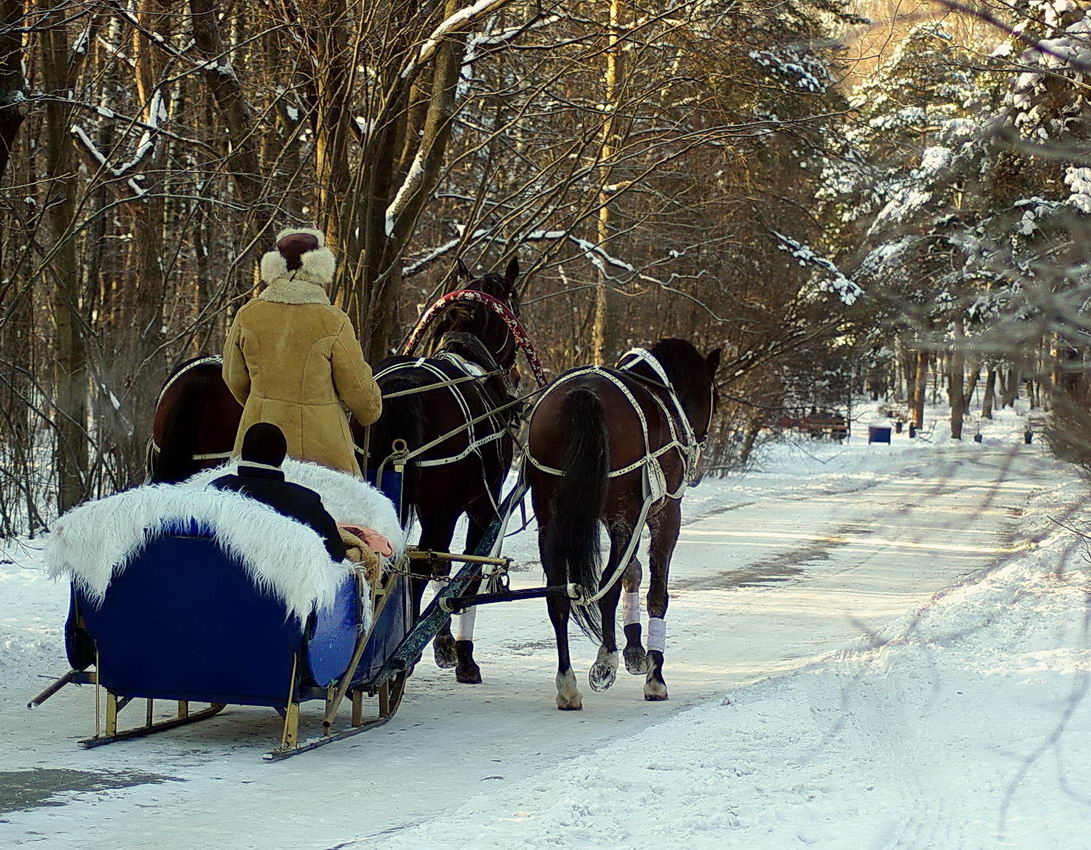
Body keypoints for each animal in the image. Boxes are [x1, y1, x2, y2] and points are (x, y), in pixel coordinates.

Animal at [525, 338, 715, 711]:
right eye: (712, 395)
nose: (699, 444)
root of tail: (582, 394)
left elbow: (631, 572)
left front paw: (635, 650)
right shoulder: (661, 515)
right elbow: (655, 592)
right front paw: (653, 675)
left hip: (550, 519)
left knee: (559, 597)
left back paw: (567, 685)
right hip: (623, 514)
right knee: (604, 587)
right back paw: (605, 660)